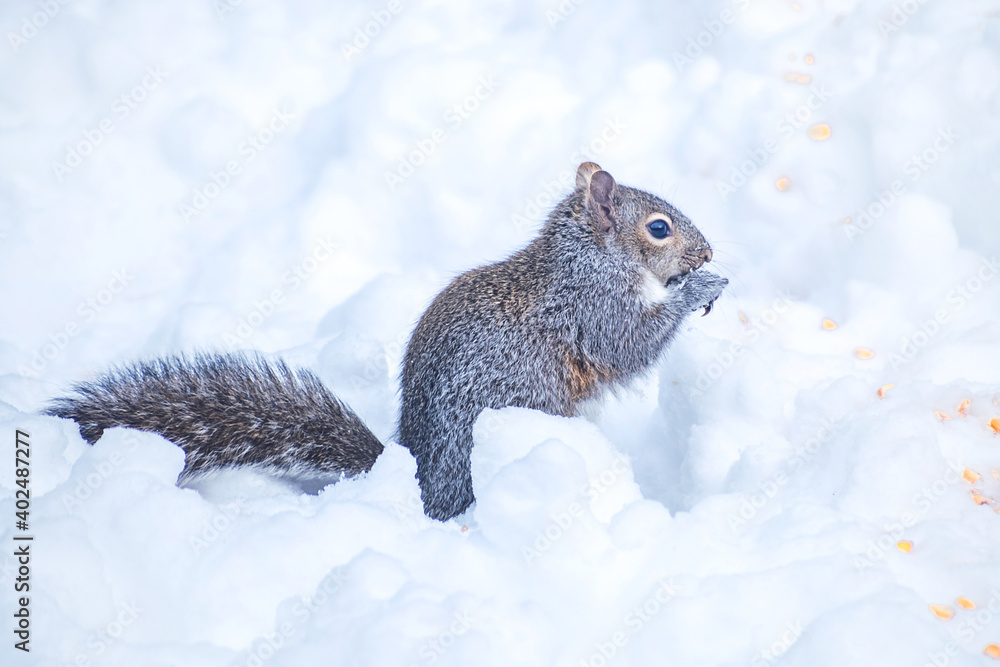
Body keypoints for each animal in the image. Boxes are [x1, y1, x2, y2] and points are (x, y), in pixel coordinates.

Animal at [46, 162, 727, 521]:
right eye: (659, 228)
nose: (707, 252)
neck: (584, 254)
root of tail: (424, 487)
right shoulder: (591, 307)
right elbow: (630, 344)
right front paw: (699, 289)